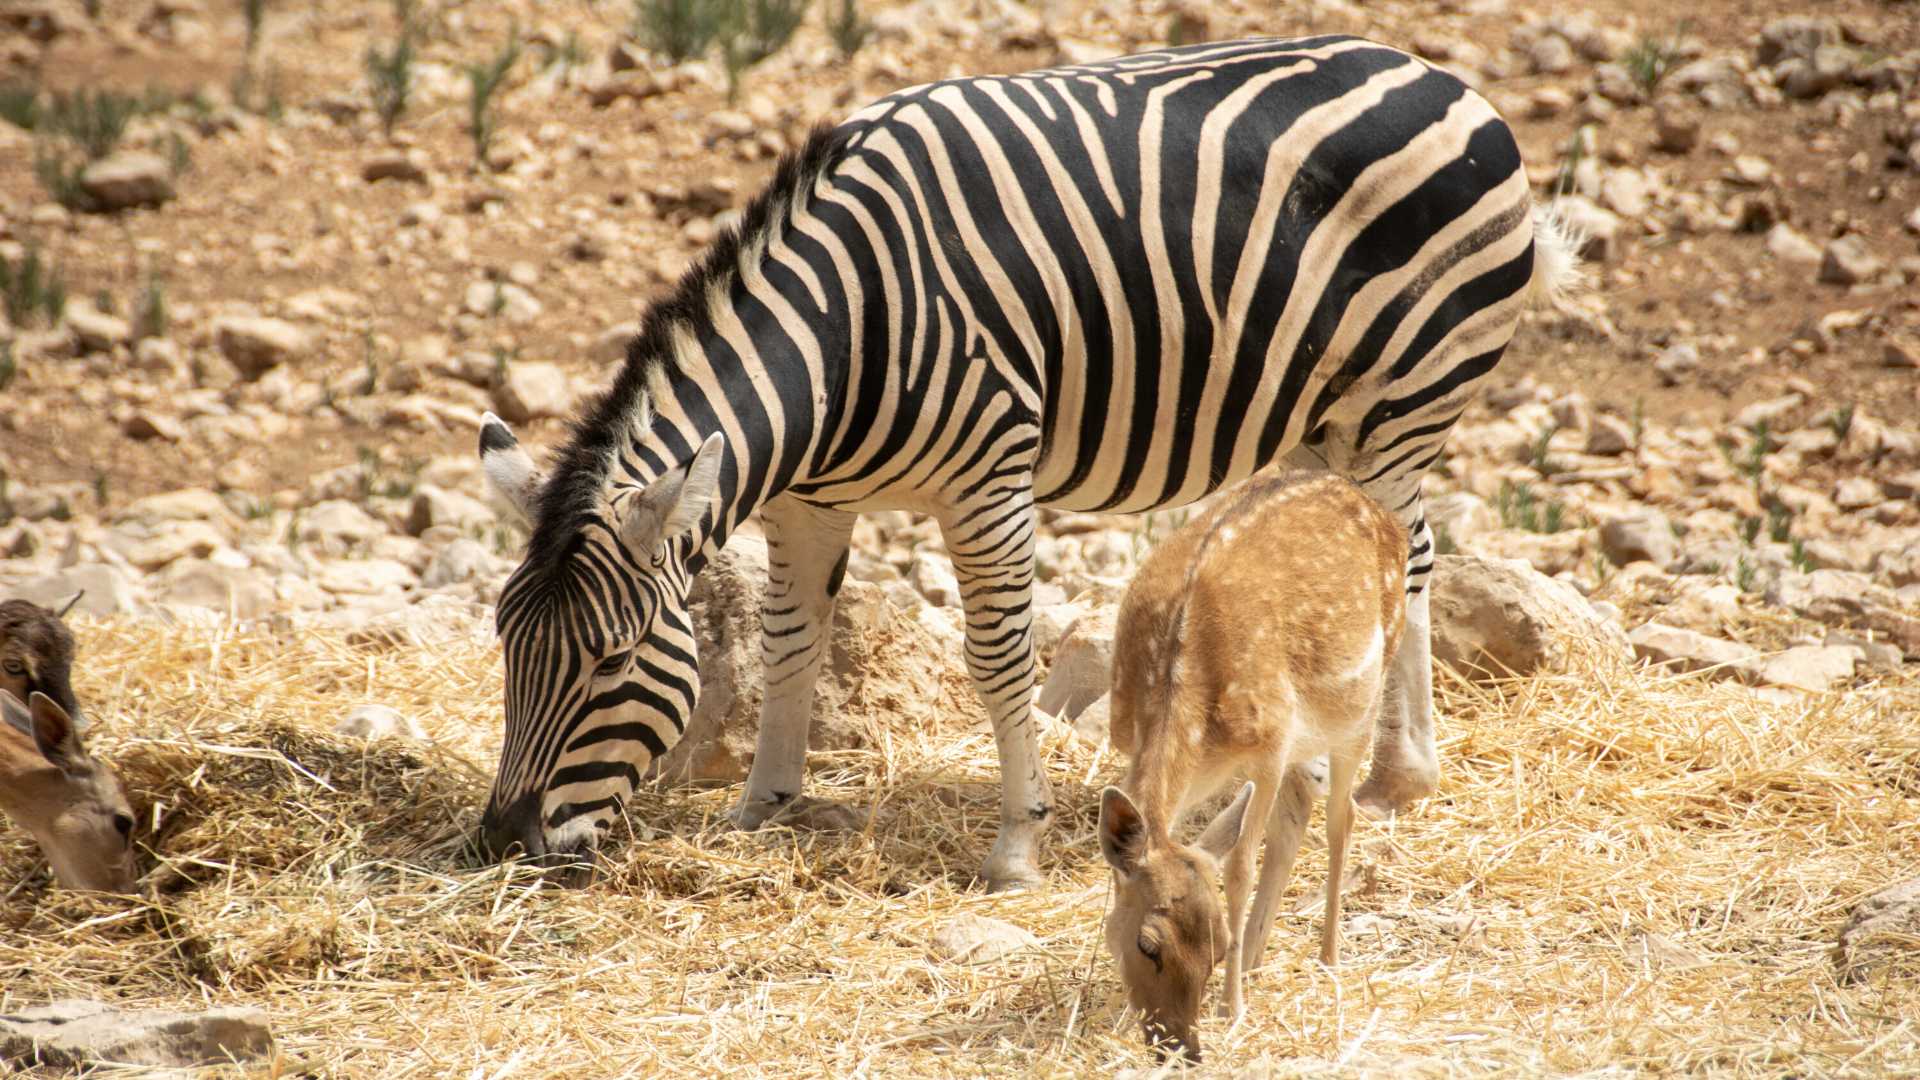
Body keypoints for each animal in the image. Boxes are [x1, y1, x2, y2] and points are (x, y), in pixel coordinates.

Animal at [476, 37, 1574, 887]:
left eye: (612, 660)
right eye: (506, 648)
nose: (501, 841)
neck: (841, 337)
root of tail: (1447, 79)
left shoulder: (987, 479)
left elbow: (999, 657)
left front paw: (1016, 847)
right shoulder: (808, 502)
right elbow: (790, 641)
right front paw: (761, 806)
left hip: (1398, 404)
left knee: (1409, 569)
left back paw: (1367, 787)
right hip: (1320, 421)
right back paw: (1310, 789)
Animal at [1098, 472, 1413, 1060]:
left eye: (1219, 945)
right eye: (1146, 945)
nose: (1181, 1045)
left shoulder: (1270, 746)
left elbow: (1241, 865)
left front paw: (1233, 1005)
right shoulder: (1129, 741)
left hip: (1362, 705)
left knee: (1341, 819)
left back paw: (1328, 958)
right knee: (1296, 819)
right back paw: (1262, 958)